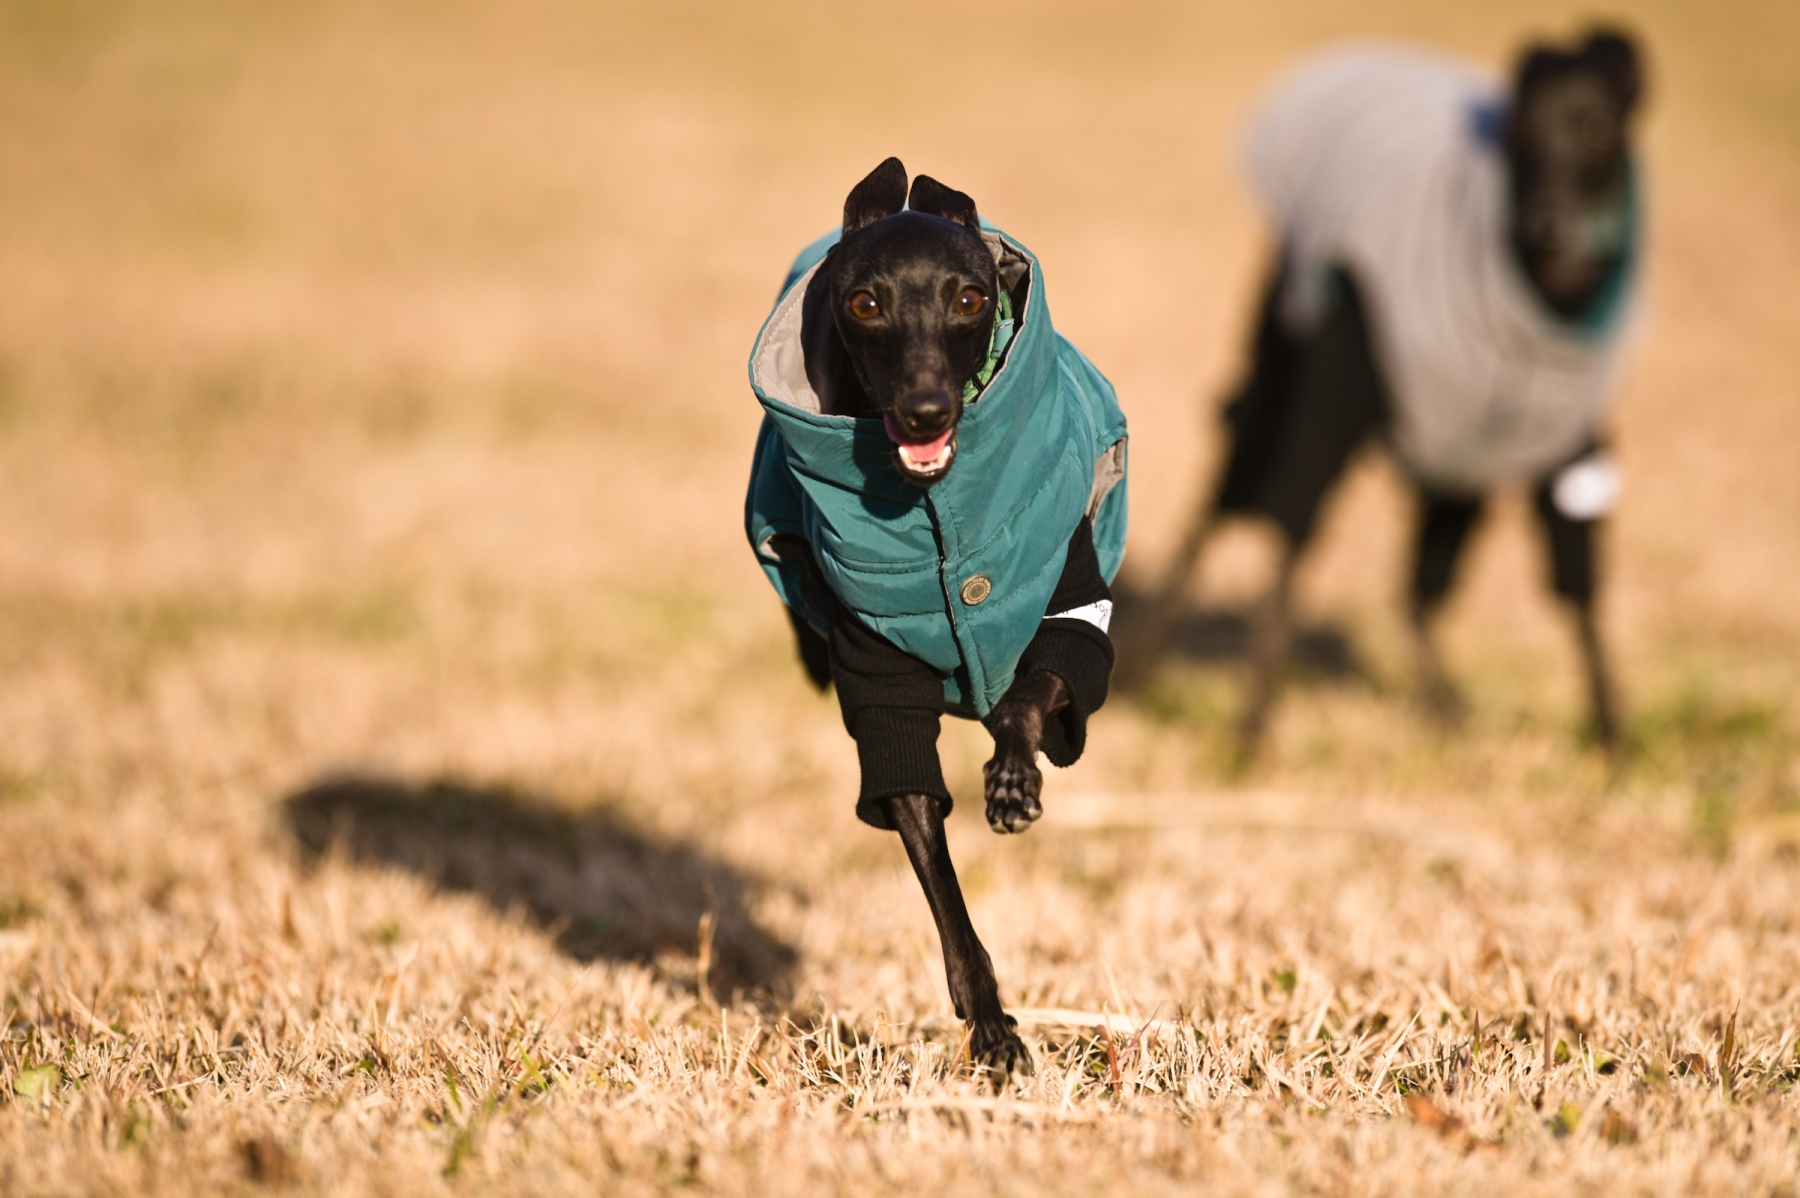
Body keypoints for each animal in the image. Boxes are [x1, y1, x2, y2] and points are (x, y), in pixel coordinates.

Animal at [745, 158, 1129, 1073]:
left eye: (968, 298)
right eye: (865, 302)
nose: (925, 412)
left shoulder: (1076, 609)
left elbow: (1032, 693)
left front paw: (1013, 780)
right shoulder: (880, 690)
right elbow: (940, 882)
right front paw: (990, 1025)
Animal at [1127, 30, 1644, 755]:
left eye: (1598, 126)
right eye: (1519, 127)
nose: (1550, 225)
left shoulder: (1569, 455)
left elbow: (1582, 595)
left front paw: (1612, 735)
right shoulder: (1332, 399)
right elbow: (1289, 550)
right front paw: (1252, 727)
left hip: (1457, 473)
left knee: (1418, 594)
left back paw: (1443, 703)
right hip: (1277, 382)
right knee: (1221, 510)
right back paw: (1145, 656)